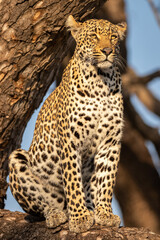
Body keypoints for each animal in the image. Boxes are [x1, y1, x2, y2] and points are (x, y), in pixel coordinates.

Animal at [8, 15, 126, 232]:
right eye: (94, 36)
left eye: (113, 37)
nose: (107, 51)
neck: (101, 80)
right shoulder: (70, 142)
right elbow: (72, 181)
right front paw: (79, 218)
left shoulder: (110, 142)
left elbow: (106, 180)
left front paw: (105, 214)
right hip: (17, 158)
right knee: (40, 207)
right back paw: (57, 214)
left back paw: (90, 209)